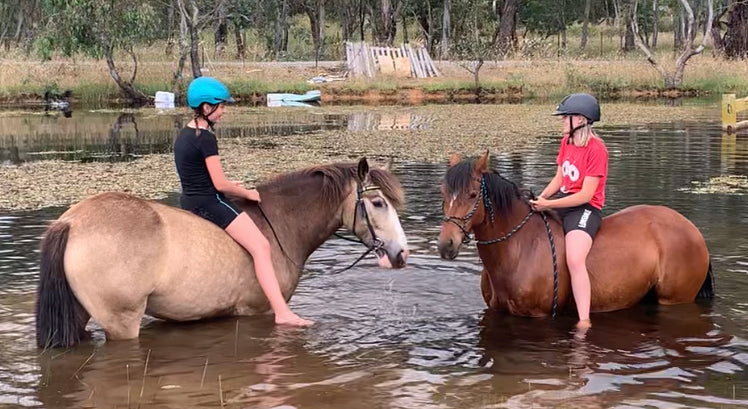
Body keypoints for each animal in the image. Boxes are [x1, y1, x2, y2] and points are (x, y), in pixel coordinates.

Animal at [36, 158, 409, 348]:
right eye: (378, 202)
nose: (401, 253)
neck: (279, 223)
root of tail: (71, 221)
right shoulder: (256, 311)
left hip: (80, 313)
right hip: (122, 322)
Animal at [437, 152, 713, 318]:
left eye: (473, 194)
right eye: (443, 192)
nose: (446, 245)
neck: (518, 248)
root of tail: (692, 228)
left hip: (674, 300)